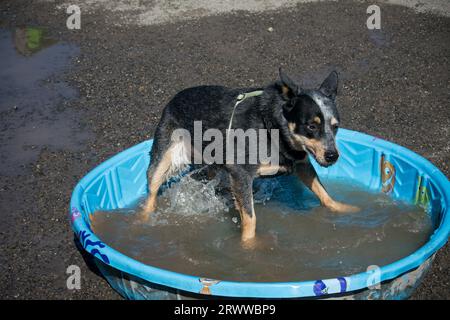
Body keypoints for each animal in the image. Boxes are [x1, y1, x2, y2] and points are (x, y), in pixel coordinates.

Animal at [141, 69, 358, 246]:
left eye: (335, 126)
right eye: (311, 126)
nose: (332, 156)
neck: (273, 127)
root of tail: (175, 97)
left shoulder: (301, 162)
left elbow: (323, 192)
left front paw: (341, 208)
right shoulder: (240, 172)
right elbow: (250, 218)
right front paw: (248, 245)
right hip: (165, 149)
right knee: (152, 187)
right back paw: (143, 219)